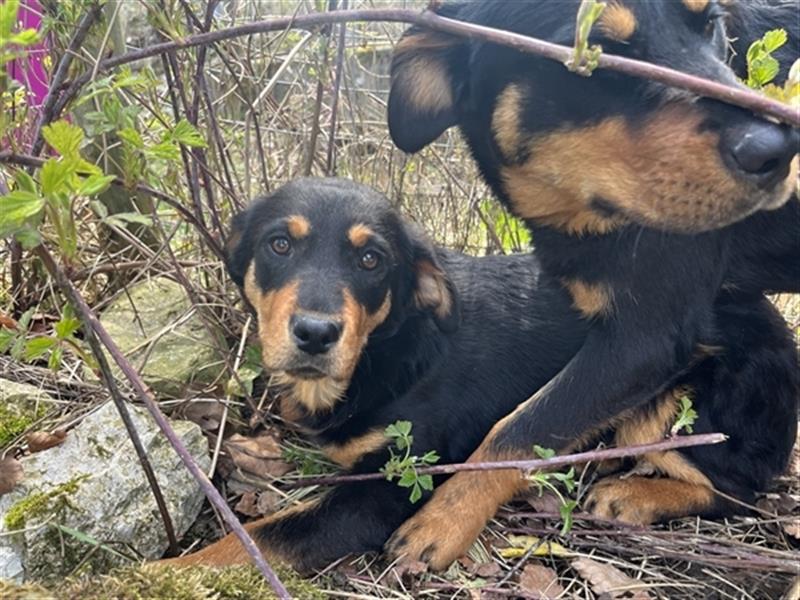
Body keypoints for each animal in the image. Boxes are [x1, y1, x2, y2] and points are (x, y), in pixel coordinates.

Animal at [166, 177, 796, 572]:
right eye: (279, 245)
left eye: (372, 261)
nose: (316, 334)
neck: (389, 346)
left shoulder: (383, 494)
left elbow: (255, 539)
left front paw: (164, 574)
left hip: (671, 406)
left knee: (741, 492)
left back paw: (633, 496)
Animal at [384, 0, 796, 568]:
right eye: (597, 50)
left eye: (710, 21)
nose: (782, 150)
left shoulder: (645, 341)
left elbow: (519, 427)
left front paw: (440, 521)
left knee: (739, 491)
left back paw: (634, 494)